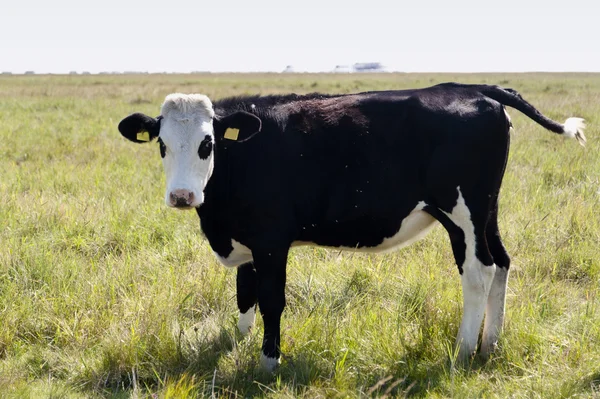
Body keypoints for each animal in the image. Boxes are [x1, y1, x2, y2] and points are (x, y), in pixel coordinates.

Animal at [117, 83, 584, 372]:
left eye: (207, 143)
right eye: (162, 145)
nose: (182, 196)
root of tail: (473, 88)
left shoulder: (271, 240)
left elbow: (271, 300)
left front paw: (269, 362)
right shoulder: (246, 238)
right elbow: (244, 294)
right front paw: (239, 342)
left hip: (462, 213)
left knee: (478, 271)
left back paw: (463, 350)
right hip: (487, 210)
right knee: (501, 263)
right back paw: (490, 345)